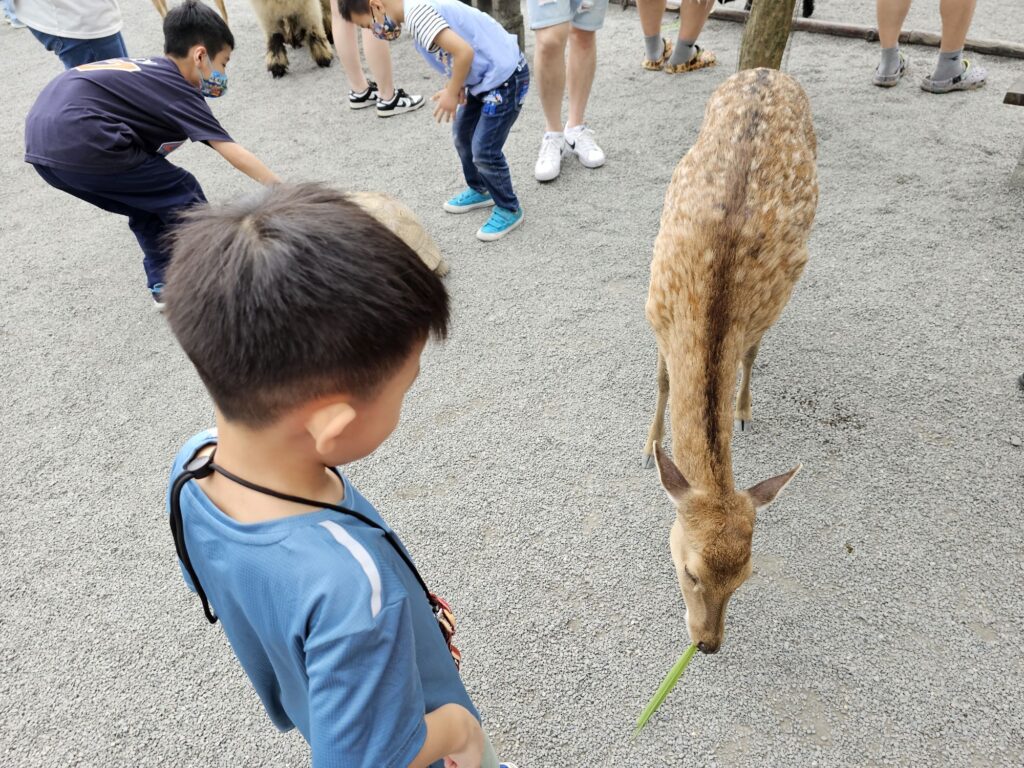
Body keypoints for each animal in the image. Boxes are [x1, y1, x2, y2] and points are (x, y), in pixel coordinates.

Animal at [643, 67, 819, 655]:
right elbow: (662, 381)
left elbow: (751, 353)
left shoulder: (759, 316)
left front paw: (740, 411)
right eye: (690, 570)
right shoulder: (655, 312)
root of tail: (768, 71)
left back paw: (741, 410)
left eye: (745, 576)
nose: (709, 644)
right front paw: (650, 444)